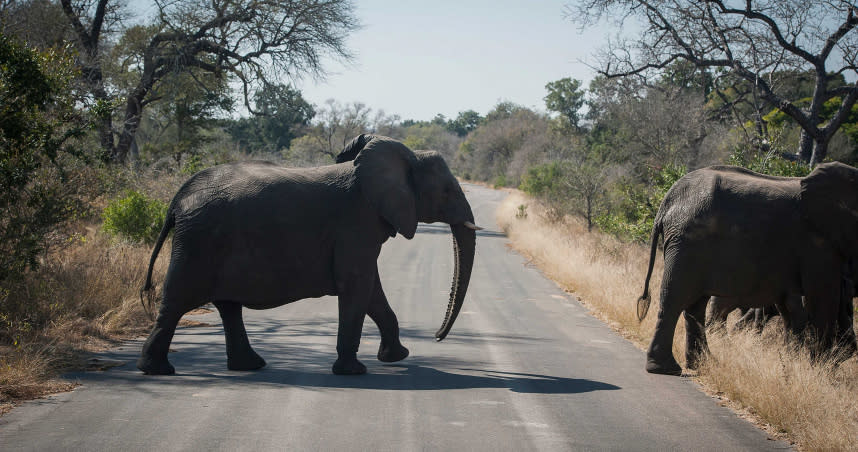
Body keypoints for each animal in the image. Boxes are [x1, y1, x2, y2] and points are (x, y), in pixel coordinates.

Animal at [137, 134, 478, 374]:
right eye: (447, 191)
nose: (437, 337)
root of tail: (178, 199)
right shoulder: (355, 223)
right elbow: (358, 285)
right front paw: (354, 372)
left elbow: (371, 290)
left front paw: (396, 358)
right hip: (198, 242)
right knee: (177, 302)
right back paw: (157, 370)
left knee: (228, 306)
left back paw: (250, 366)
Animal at [632, 162, 856, 374]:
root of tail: (667, 201)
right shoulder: (818, 244)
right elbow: (822, 299)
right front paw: (820, 371)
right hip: (688, 242)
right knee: (676, 298)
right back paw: (667, 369)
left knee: (695, 305)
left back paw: (703, 365)